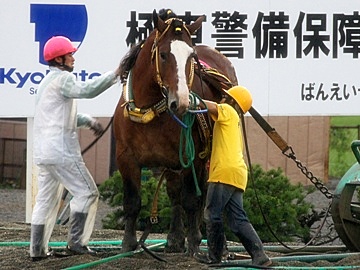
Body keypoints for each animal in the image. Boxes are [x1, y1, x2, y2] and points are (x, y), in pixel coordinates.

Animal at [112, 10, 236, 255]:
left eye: (191, 57)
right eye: (163, 55)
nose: (181, 102)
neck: (150, 109)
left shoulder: (192, 156)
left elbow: (192, 199)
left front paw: (195, 243)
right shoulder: (125, 157)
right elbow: (133, 201)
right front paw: (128, 244)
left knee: (208, 194)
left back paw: (219, 245)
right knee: (174, 192)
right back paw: (175, 239)